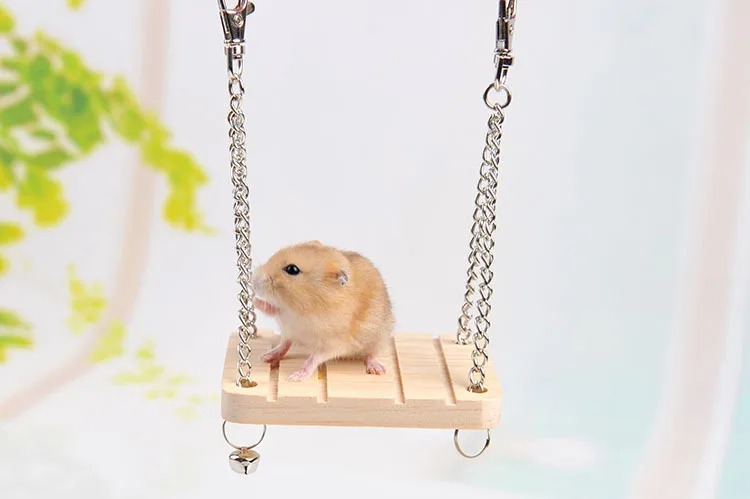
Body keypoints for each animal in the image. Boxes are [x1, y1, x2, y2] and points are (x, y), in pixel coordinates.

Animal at [251, 241, 395, 382]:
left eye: (292, 269)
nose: (254, 281)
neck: (303, 309)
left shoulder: (333, 343)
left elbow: (314, 358)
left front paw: (295, 377)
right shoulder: (286, 317)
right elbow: (272, 311)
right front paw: (253, 299)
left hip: (378, 338)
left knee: (372, 354)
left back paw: (377, 369)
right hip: (290, 332)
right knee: (285, 343)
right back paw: (265, 356)